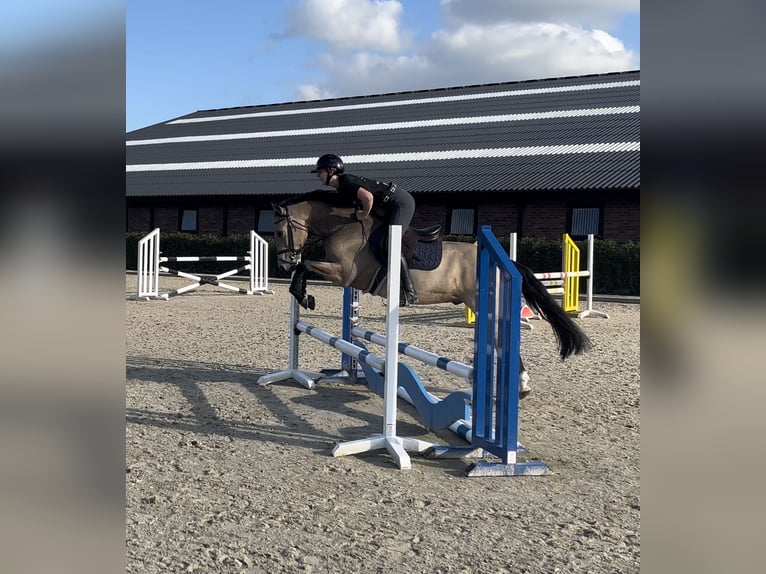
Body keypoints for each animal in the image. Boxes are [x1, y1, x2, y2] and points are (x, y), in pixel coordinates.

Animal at [272, 192, 592, 396]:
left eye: (278, 231)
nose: (283, 263)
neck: (343, 227)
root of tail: (506, 262)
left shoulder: (344, 274)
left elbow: (305, 266)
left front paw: (304, 295)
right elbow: (304, 267)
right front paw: (303, 295)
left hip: (482, 302)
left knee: (501, 338)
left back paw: (520, 385)